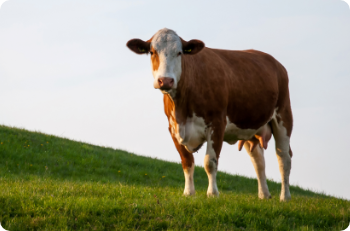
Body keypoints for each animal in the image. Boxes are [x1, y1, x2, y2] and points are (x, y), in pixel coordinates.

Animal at [126, 28, 292, 201]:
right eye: (152, 52)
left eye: (179, 52)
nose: (165, 81)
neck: (182, 109)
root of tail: (275, 63)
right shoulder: (173, 128)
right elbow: (187, 161)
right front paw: (188, 192)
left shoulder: (217, 123)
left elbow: (210, 162)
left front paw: (212, 193)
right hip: (248, 126)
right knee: (258, 161)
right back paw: (264, 195)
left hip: (283, 115)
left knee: (284, 158)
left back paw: (285, 197)